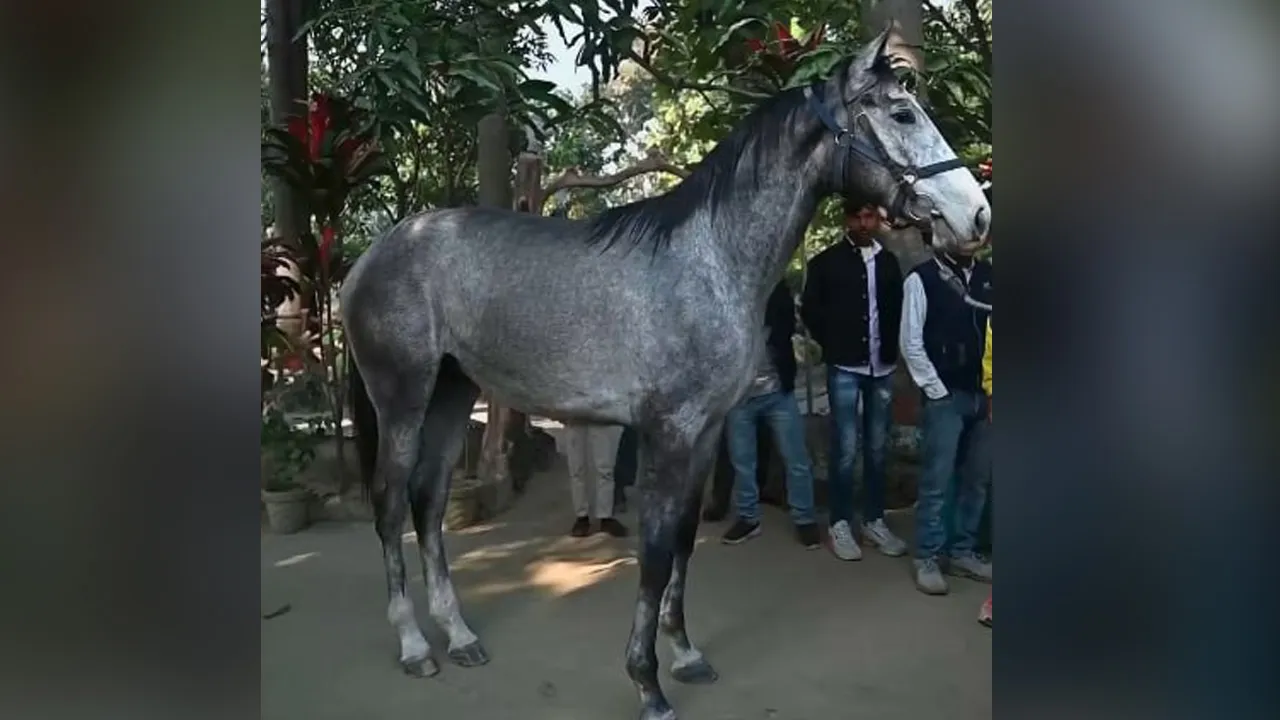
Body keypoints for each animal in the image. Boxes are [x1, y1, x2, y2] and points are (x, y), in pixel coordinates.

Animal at [342, 24, 990, 720]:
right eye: (902, 113)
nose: (977, 216)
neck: (709, 259)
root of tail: (375, 254)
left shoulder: (704, 434)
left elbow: (680, 542)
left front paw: (685, 655)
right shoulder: (670, 434)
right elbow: (653, 554)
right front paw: (647, 683)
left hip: (452, 393)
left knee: (429, 504)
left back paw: (459, 635)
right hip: (402, 399)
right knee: (390, 507)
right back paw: (415, 645)